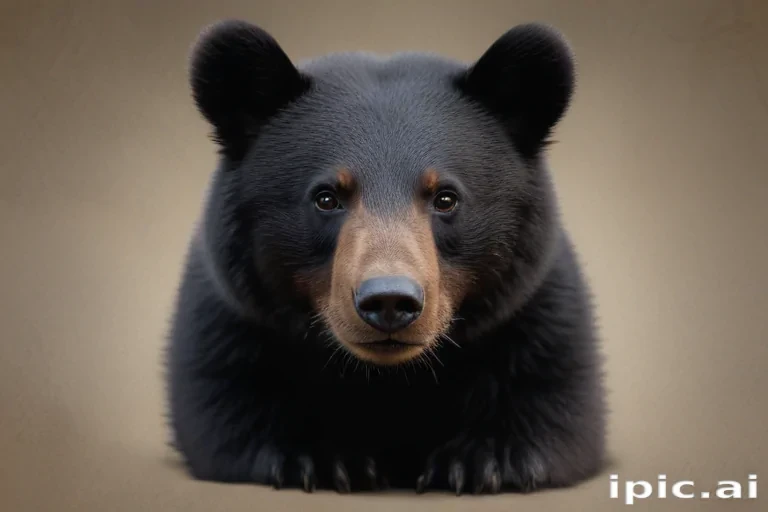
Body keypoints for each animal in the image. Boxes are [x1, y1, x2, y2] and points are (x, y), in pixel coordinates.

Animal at [165, 19, 607, 496]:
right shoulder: (229, 316)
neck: (389, 379)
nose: (390, 300)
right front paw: (322, 458)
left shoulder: (537, 310)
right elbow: (225, 397)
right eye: (326, 197)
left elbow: (552, 393)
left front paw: (486, 459)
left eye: (446, 197)